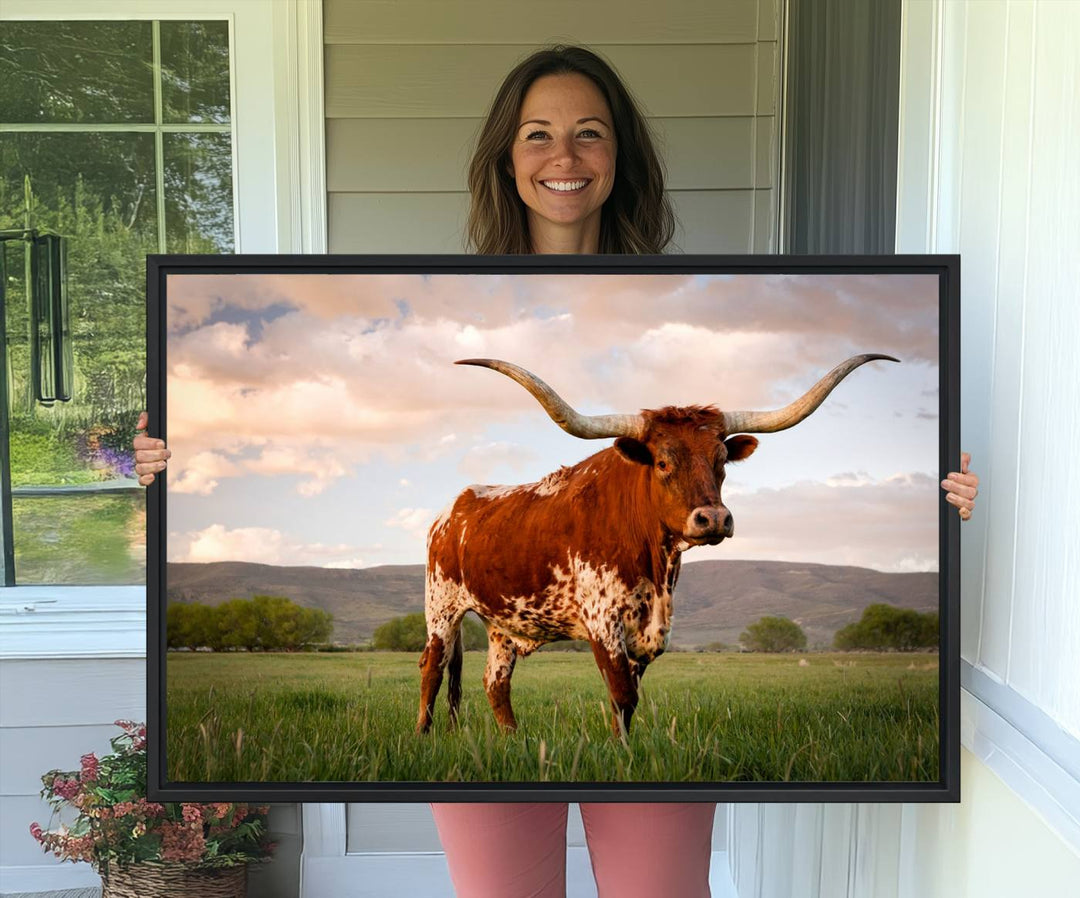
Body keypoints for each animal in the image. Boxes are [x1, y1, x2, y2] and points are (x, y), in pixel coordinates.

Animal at [412, 354, 894, 734]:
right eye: (662, 462)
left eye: (722, 460)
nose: (713, 518)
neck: (655, 563)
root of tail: (452, 509)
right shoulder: (602, 621)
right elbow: (622, 695)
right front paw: (620, 755)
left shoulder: (650, 631)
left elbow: (628, 702)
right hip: (442, 608)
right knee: (432, 669)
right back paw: (423, 736)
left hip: (503, 625)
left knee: (495, 682)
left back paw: (514, 739)